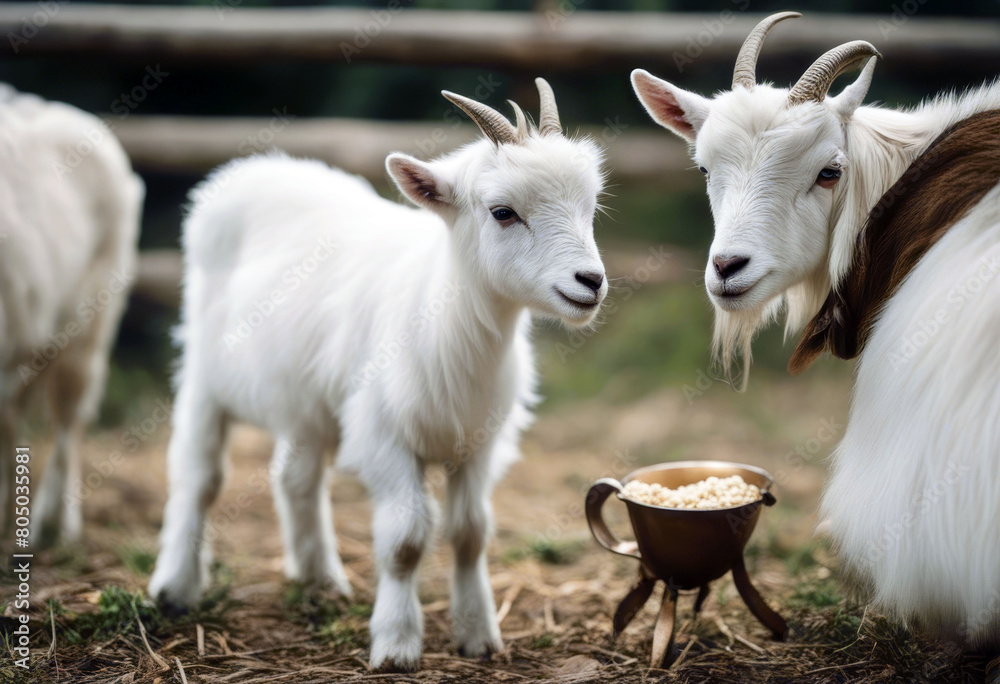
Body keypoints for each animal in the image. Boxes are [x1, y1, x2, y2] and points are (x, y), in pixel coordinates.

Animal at [148, 79, 607, 671]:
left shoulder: (478, 441)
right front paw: (395, 643)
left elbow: (471, 533)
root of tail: (249, 168)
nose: (590, 281)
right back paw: (176, 588)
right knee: (198, 477)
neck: (448, 322)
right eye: (503, 212)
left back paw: (319, 580)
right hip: (205, 373)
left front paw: (478, 635)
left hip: (306, 400)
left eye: (590, 206)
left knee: (294, 477)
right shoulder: (384, 435)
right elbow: (406, 540)